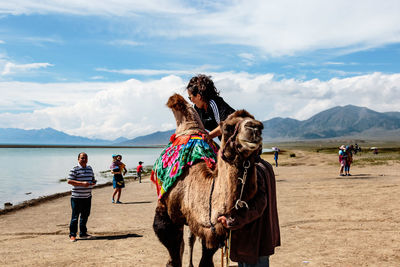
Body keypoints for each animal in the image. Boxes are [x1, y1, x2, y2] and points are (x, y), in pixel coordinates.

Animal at [152, 93, 262, 266]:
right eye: (228, 127)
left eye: (261, 126)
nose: (255, 127)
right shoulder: (166, 217)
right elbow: (174, 256)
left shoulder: (213, 228)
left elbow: (205, 258)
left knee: (190, 238)